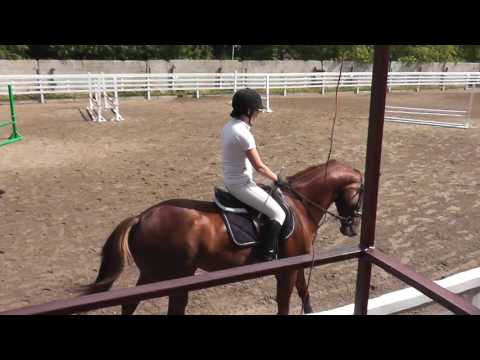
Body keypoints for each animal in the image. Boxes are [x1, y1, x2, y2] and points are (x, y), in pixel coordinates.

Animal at [83, 160, 360, 316]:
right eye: (361, 194)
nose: (352, 228)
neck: (300, 205)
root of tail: (141, 217)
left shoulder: (297, 263)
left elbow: (304, 292)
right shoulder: (286, 270)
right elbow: (284, 303)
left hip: (155, 274)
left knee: (131, 304)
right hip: (169, 275)